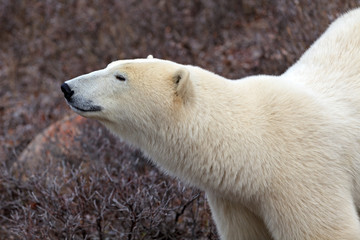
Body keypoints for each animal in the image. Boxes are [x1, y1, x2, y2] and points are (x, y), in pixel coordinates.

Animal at [62, 7, 360, 240]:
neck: (256, 147)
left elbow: (327, 230)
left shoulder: (303, 175)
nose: (67, 87)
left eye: (120, 77)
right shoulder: (234, 199)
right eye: (109, 64)